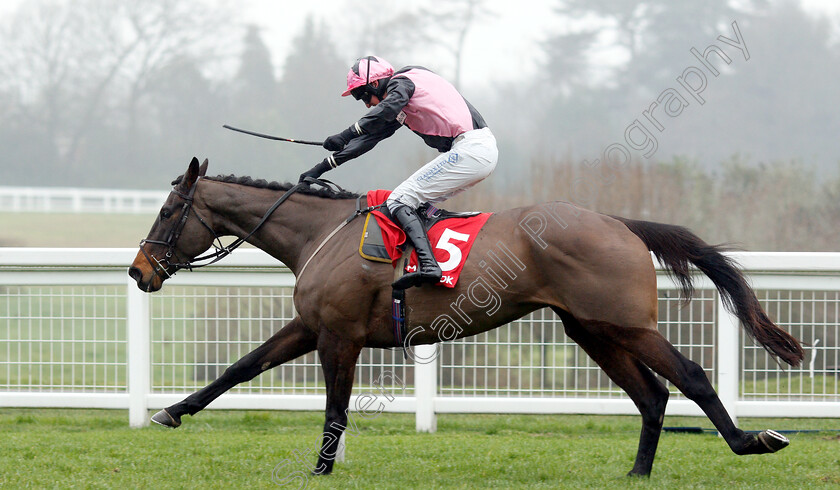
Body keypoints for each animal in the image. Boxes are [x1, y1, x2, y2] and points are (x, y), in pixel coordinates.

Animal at [128, 158, 804, 478]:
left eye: (165, 211)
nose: (138, 271)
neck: (321, 233)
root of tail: (620, 223)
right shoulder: (311, 328)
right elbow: (239, 369)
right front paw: (171, 411)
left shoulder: (339, 337)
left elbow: (336, 409)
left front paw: (319, 469)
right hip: (590, 330)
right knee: (651, 394)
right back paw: (637, 472)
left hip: (625, 325)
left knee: (688, 376)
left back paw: (750, 440)